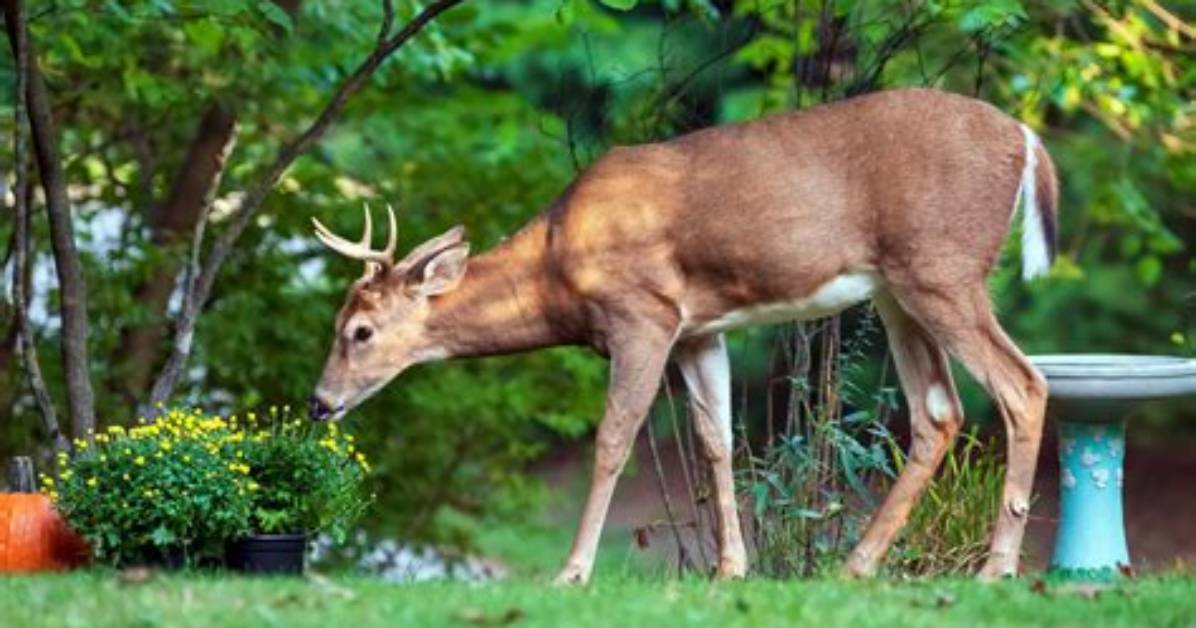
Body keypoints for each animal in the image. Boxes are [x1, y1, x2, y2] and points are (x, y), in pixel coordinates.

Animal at [308, 88, 1058, 584]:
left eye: (360, 331)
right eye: (341, 326)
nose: (319, 402)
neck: (557, 266)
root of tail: (1027, 138)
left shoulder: (642, 313)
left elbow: (614, 439)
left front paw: (572, 572)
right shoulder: (699, 329)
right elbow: (715, 441)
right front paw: (730, 569)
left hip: (942, 268)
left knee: (1023, 385)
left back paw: (995, 569)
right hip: (898, 289)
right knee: (938, 411)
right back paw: (856, 566)